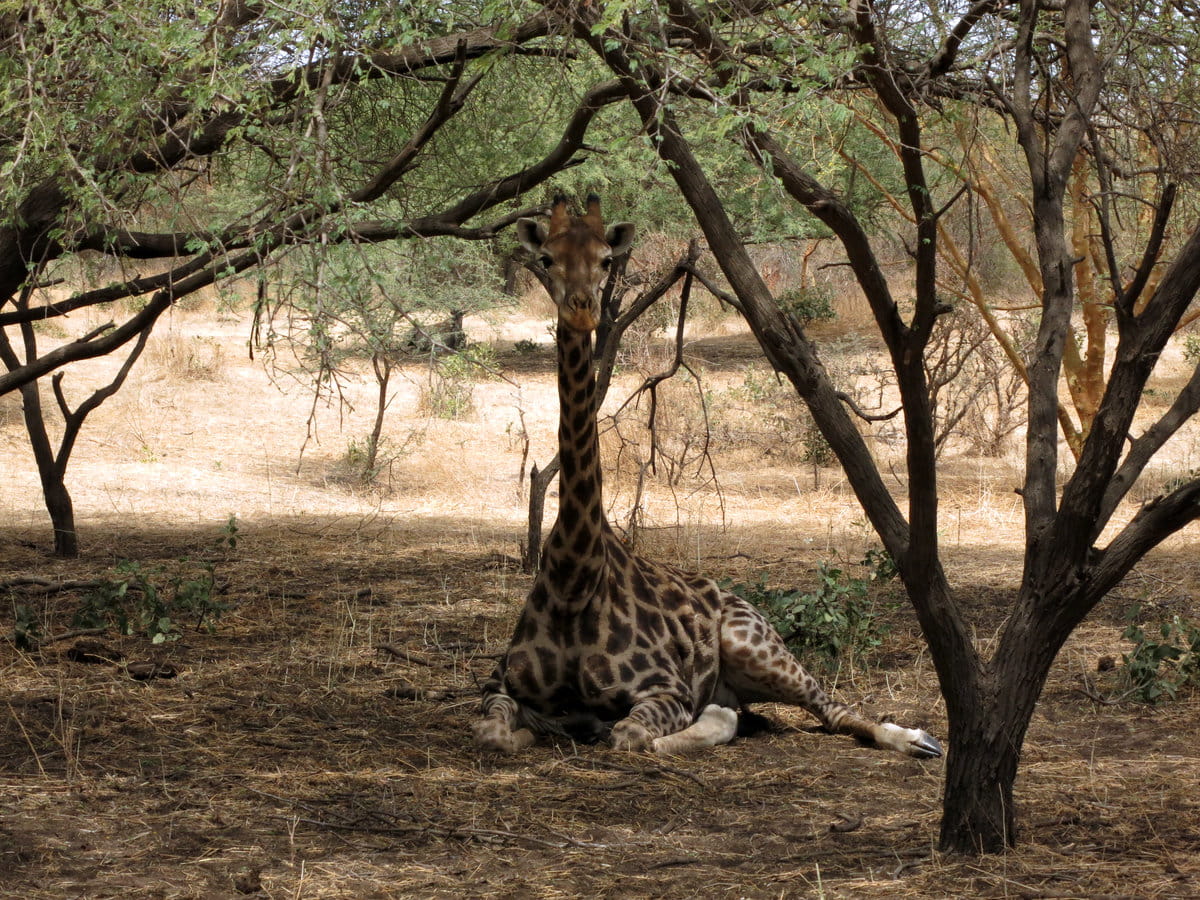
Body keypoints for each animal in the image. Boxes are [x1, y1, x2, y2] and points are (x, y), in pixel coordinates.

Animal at [472, 194, 942, 759]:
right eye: (546, 259)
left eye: (607, 259)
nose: (582, 309)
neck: (573, 580)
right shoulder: (498, 683)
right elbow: (495, 734)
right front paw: (537, 728)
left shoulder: (666, 689)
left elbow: (632, 737)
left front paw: (595, 727)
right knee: (748, 710)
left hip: (751, 643)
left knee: (829, 709)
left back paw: (917, 739)